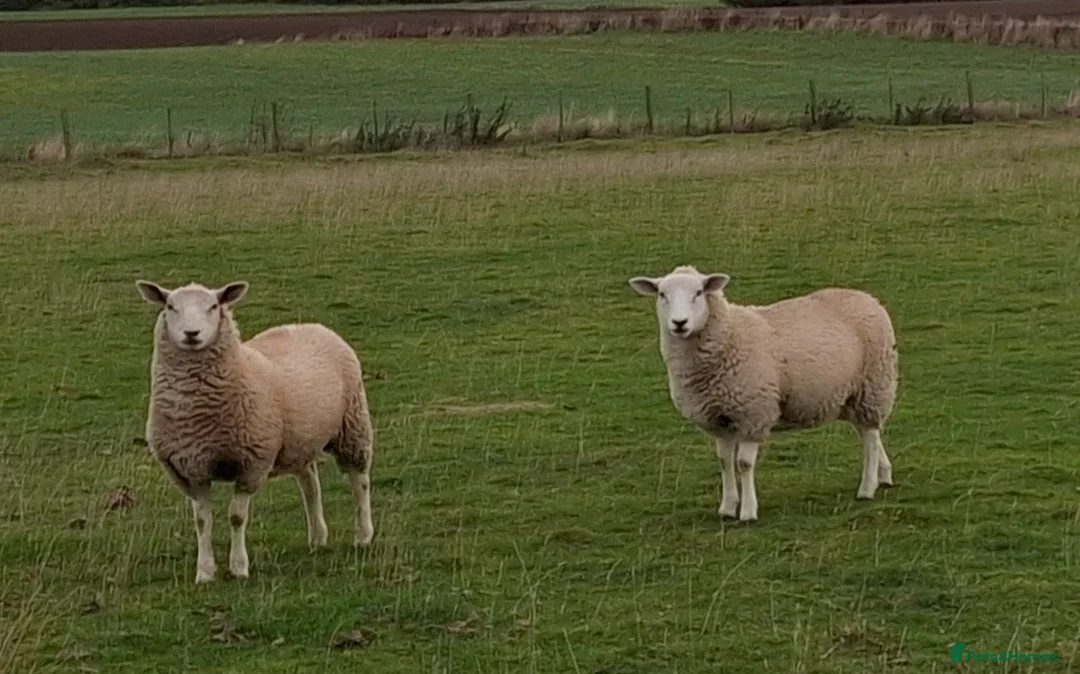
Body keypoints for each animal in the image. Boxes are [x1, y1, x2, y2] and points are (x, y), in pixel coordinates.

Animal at [135, 279, 375, 583]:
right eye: (170, 306)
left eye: (214, 306)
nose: (192, 334)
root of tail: (310, 325)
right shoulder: (192, 469)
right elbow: (202, 521)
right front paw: (205, 571)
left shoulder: (252, 463)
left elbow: (237, 517)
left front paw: (238, 567)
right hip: (298, 441)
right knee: (310, 482)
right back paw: (317, 537)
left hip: (352, 426)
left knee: (359, 481)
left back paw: (363, 535)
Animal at [628, 265, 898, 522]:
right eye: (662, 294)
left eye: (698, 292)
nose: (679, 323)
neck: (729, 335)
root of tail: (867, 297)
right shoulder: (719, 420)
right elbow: (724, 461)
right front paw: (727, 507)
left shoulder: (752, 414)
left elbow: (744, 464)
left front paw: (748, 511)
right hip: (851, 396)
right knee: (868, 434)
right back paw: (883, 474)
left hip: (872, 387)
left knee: (870, 438)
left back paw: (867, 487)